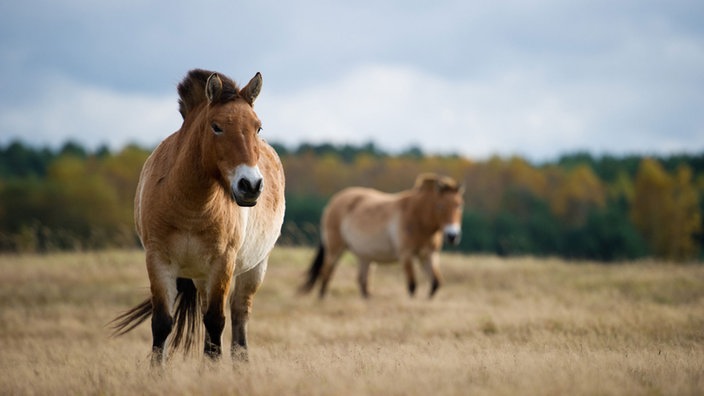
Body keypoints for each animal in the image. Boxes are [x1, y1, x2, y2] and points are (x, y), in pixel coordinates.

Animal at [111, 69, 284, 366]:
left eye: (258, 127)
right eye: (216, 126)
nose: (250, 185)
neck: (192, 207)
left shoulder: (223, 264)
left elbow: (216, 324)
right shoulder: (159, 262)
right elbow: (162, 324)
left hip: (254, 268)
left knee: (239, 316)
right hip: (202, 278)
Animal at [302, 173, 462, 296]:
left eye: (459, 205)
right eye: (440, 206)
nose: (452, 235)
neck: (419, 218)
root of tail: (333, 202)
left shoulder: (428, 255)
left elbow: (436, 284)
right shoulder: (406, 254)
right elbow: (412, 286)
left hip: (364, 256)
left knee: (363, 282)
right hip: (335, 247)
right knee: (327, 272)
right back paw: (322, 298)